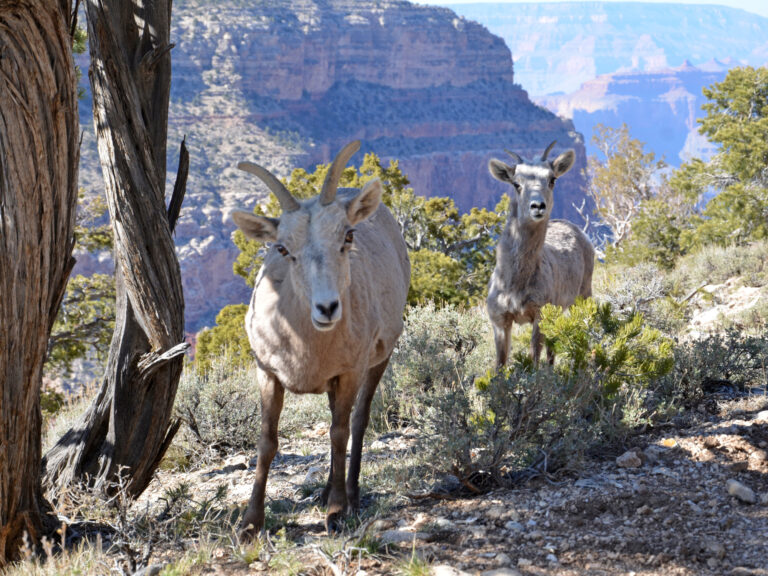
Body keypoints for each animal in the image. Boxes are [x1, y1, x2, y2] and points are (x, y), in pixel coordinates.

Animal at [231, 141, 411, 538]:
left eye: (347, 236)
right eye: (282, 249)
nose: (327, 308)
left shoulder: (350, 372)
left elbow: (340, 433)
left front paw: (337, 513)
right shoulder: (267, 372)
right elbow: (267, 442)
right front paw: (250, 524)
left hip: (380, 359)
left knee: (359, 420)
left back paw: (351, 493)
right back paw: (328, 488)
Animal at [486, 141, 594, 367]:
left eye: (552, 179)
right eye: (516, 184)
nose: (537, 206)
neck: (514, 284)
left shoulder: (539, 313)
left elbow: (534, 359)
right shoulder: (499, 320)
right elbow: (500, 363)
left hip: (583, 295)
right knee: (552, 351)